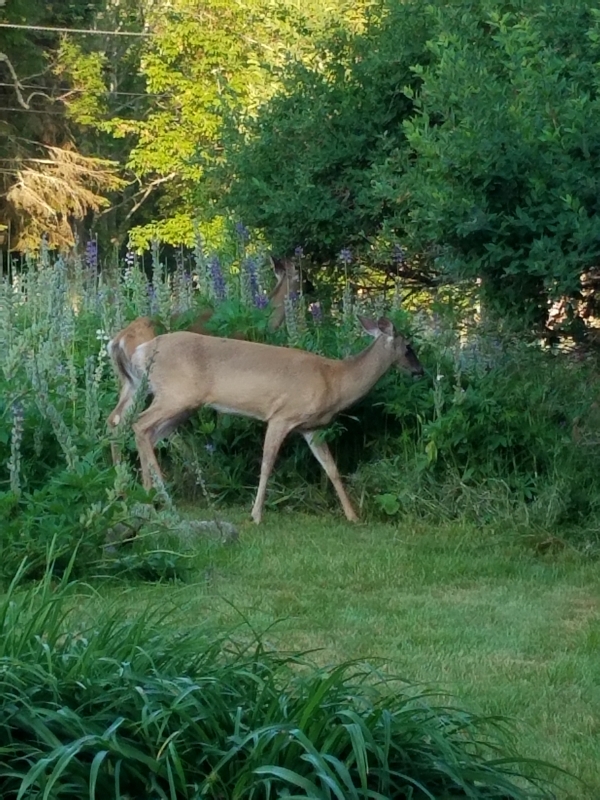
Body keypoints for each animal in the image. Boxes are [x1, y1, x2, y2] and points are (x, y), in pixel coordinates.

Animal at [126, 316, 423, 523]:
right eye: (409, 346)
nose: (420, 371)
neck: (335, 380)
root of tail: (140, 351)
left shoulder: (311, 428)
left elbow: (332, 469)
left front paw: (353, 516)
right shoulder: (282, 415)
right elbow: (267, 464)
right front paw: (256, 515)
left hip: (182, 405)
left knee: (148, 433)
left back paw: (149, 497)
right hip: (175, 395)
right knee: (138, 424)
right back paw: (160, 498)